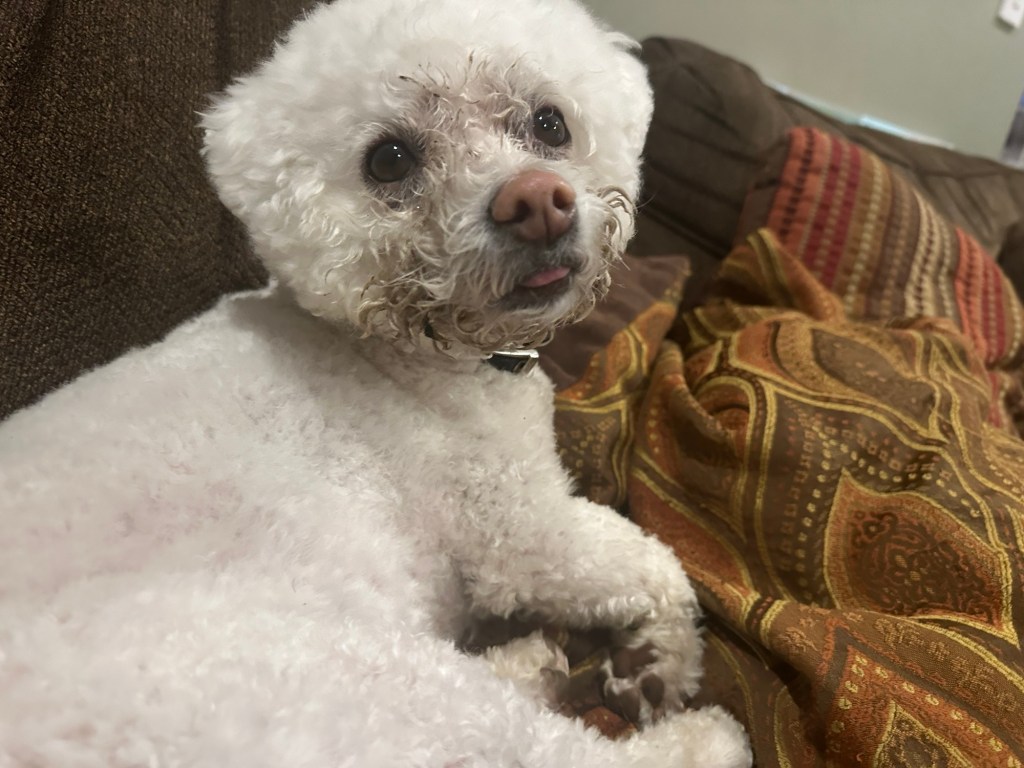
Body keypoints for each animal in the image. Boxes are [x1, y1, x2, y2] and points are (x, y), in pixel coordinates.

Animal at [0, 0, 751, 765]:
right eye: (389, 160)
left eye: (549, 123)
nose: (538, 200)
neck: (403, 352)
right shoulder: (522, 533)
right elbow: (661, 567)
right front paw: (666, 663)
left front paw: (647, 666)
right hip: (360, 686)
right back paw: (702, 738)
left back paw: (531, 664)